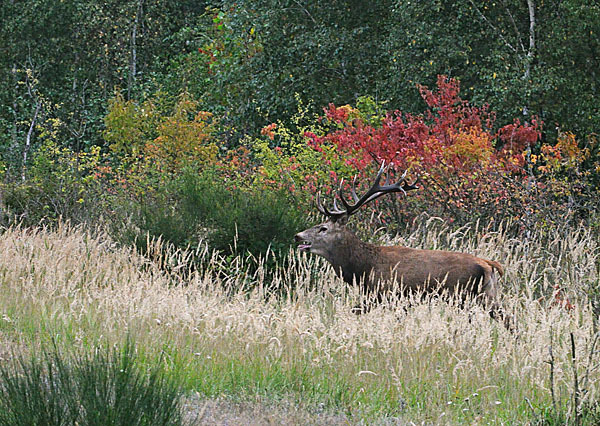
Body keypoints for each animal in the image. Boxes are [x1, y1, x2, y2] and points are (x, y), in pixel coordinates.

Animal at [292, 163, 512, 330]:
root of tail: (488, 264)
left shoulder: (385, 293)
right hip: (488, 295)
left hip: (463, 295)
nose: (297, 236)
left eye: (323, 228)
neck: (363, 267)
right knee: (509, 319)